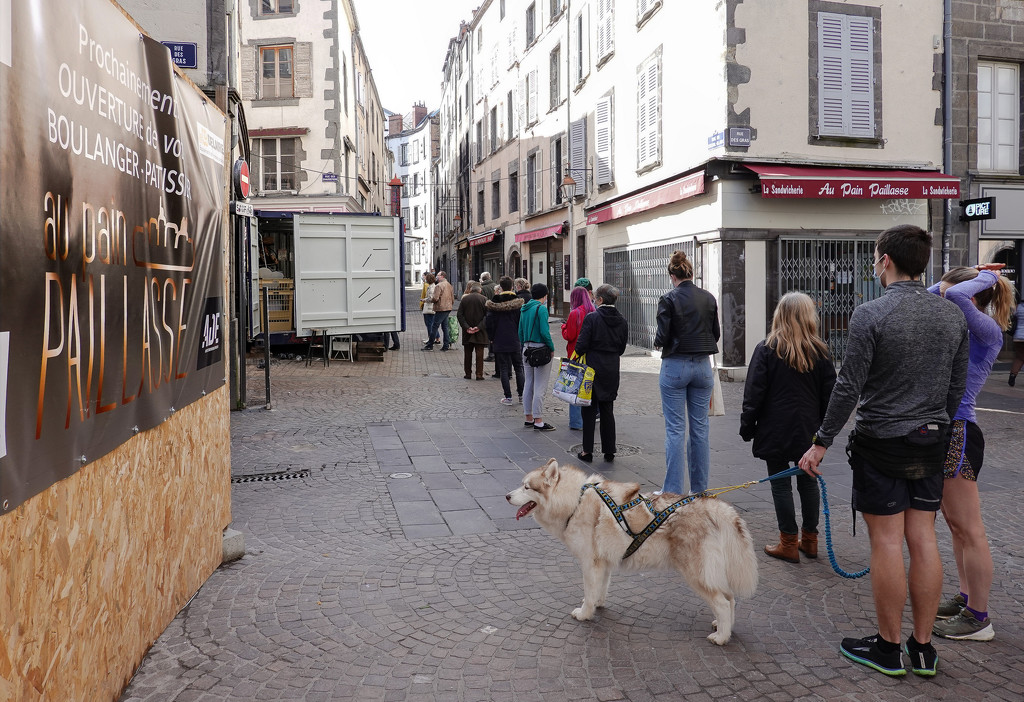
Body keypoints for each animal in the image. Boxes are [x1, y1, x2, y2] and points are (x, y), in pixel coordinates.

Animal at [505, 458, 761, 646]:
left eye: (526, 487)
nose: (506, 496)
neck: (575, 501)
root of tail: (716, 506)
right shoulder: (604, 562)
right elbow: (599, 590)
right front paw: (597, 604)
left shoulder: (590, 562)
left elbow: (589, 591)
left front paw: (585, 613)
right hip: (709, 572)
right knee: (730, 598)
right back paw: (724, 627)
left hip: (696, 574)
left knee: (722, 602)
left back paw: (722, 637)